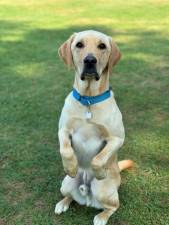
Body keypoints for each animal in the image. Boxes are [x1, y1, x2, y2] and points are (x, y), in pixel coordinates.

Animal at [54, 30, 133, 225]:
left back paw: (101, 217)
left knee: (112, 207)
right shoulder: (63, 130)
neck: (89, 100)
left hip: (104, 191)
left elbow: (98, 158)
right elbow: (65, 150)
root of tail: (87, 195)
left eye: (102, 46)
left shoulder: (117, 138)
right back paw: (62, 203)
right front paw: (71, 167)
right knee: (70, 196)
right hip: (66, 184)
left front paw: (99, 172)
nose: (90, 60)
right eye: (79, 45)